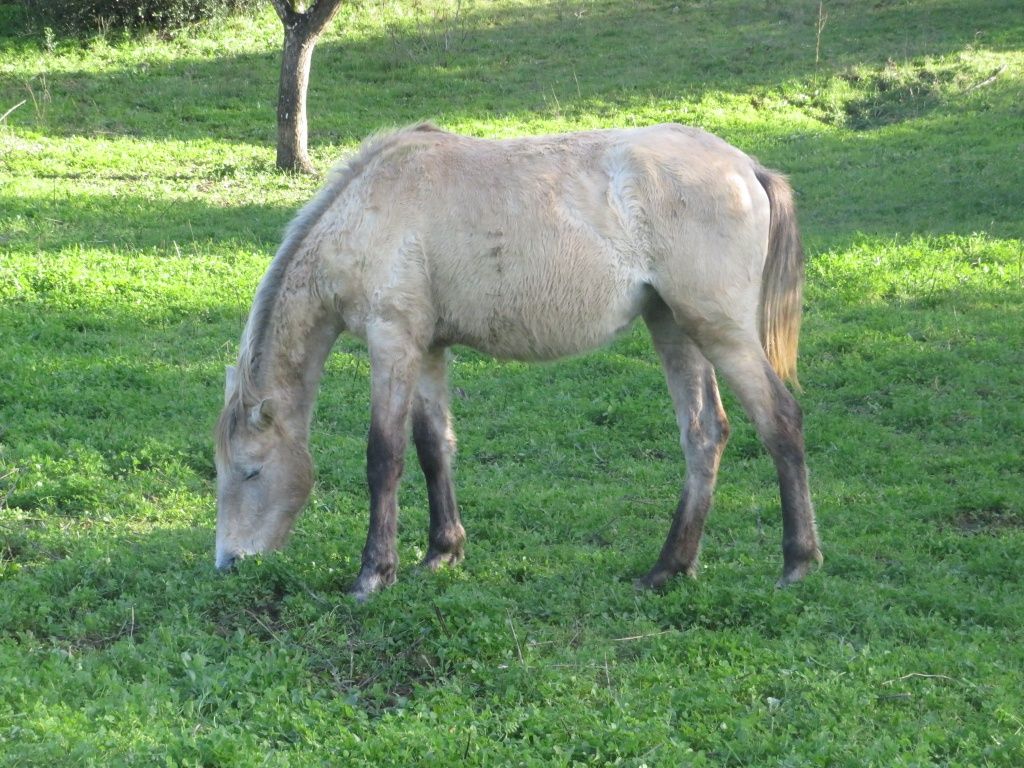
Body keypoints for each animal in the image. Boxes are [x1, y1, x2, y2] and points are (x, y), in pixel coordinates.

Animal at [211, 121, 819, 602]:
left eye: (251, 471)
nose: (229, 563)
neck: (369, 208)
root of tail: (747, 168)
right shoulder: (428, 349)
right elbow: (434, 448)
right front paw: (442, 552)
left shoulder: (392, 342)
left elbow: (384, 457)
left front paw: (373, 575)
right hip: (673, 326)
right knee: (704, 434)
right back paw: (668, 568)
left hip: (719, 330)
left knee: (780, 421)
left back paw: (797, 562)